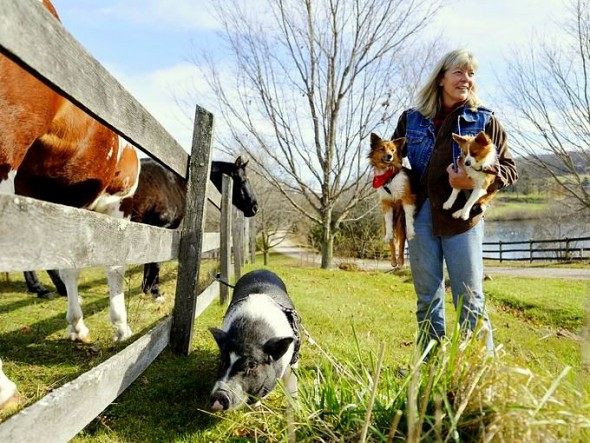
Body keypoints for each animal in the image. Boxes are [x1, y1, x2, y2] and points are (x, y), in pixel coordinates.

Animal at [208, 270, 300, 412]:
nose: (219, 397)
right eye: (223, 360)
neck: (249, 335)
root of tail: (260, 270)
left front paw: (294, 411)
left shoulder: (293, 360)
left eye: (252, 365)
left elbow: (292, 386)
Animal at [370, 134, 416, 268]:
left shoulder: (407, 198)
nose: (389, 156)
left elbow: (409, 218)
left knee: (401, 243)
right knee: (392, 242)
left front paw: (411, 232)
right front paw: (389, 235)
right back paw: (394, 261)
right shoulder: (386, 203)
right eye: (382, 149)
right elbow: (389, 226)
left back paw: (400, 260)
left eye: (393, 150)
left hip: (401, 223)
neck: (388, 175)